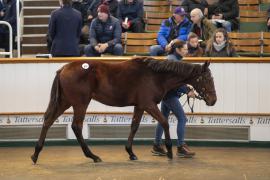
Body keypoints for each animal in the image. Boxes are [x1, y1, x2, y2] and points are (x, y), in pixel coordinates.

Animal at [30, 57, 216, 164]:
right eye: (206, 79)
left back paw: (36, 154)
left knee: (48, 120)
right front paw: (169, 151)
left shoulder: (140, 106)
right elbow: (164, 122)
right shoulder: (148, 104)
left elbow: (134, 126)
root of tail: (63, 68)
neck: (155, 75)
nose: (213, 100)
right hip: (80, 103)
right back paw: (93, 156)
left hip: (65, 102)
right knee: (76, 126)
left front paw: (131, 153)